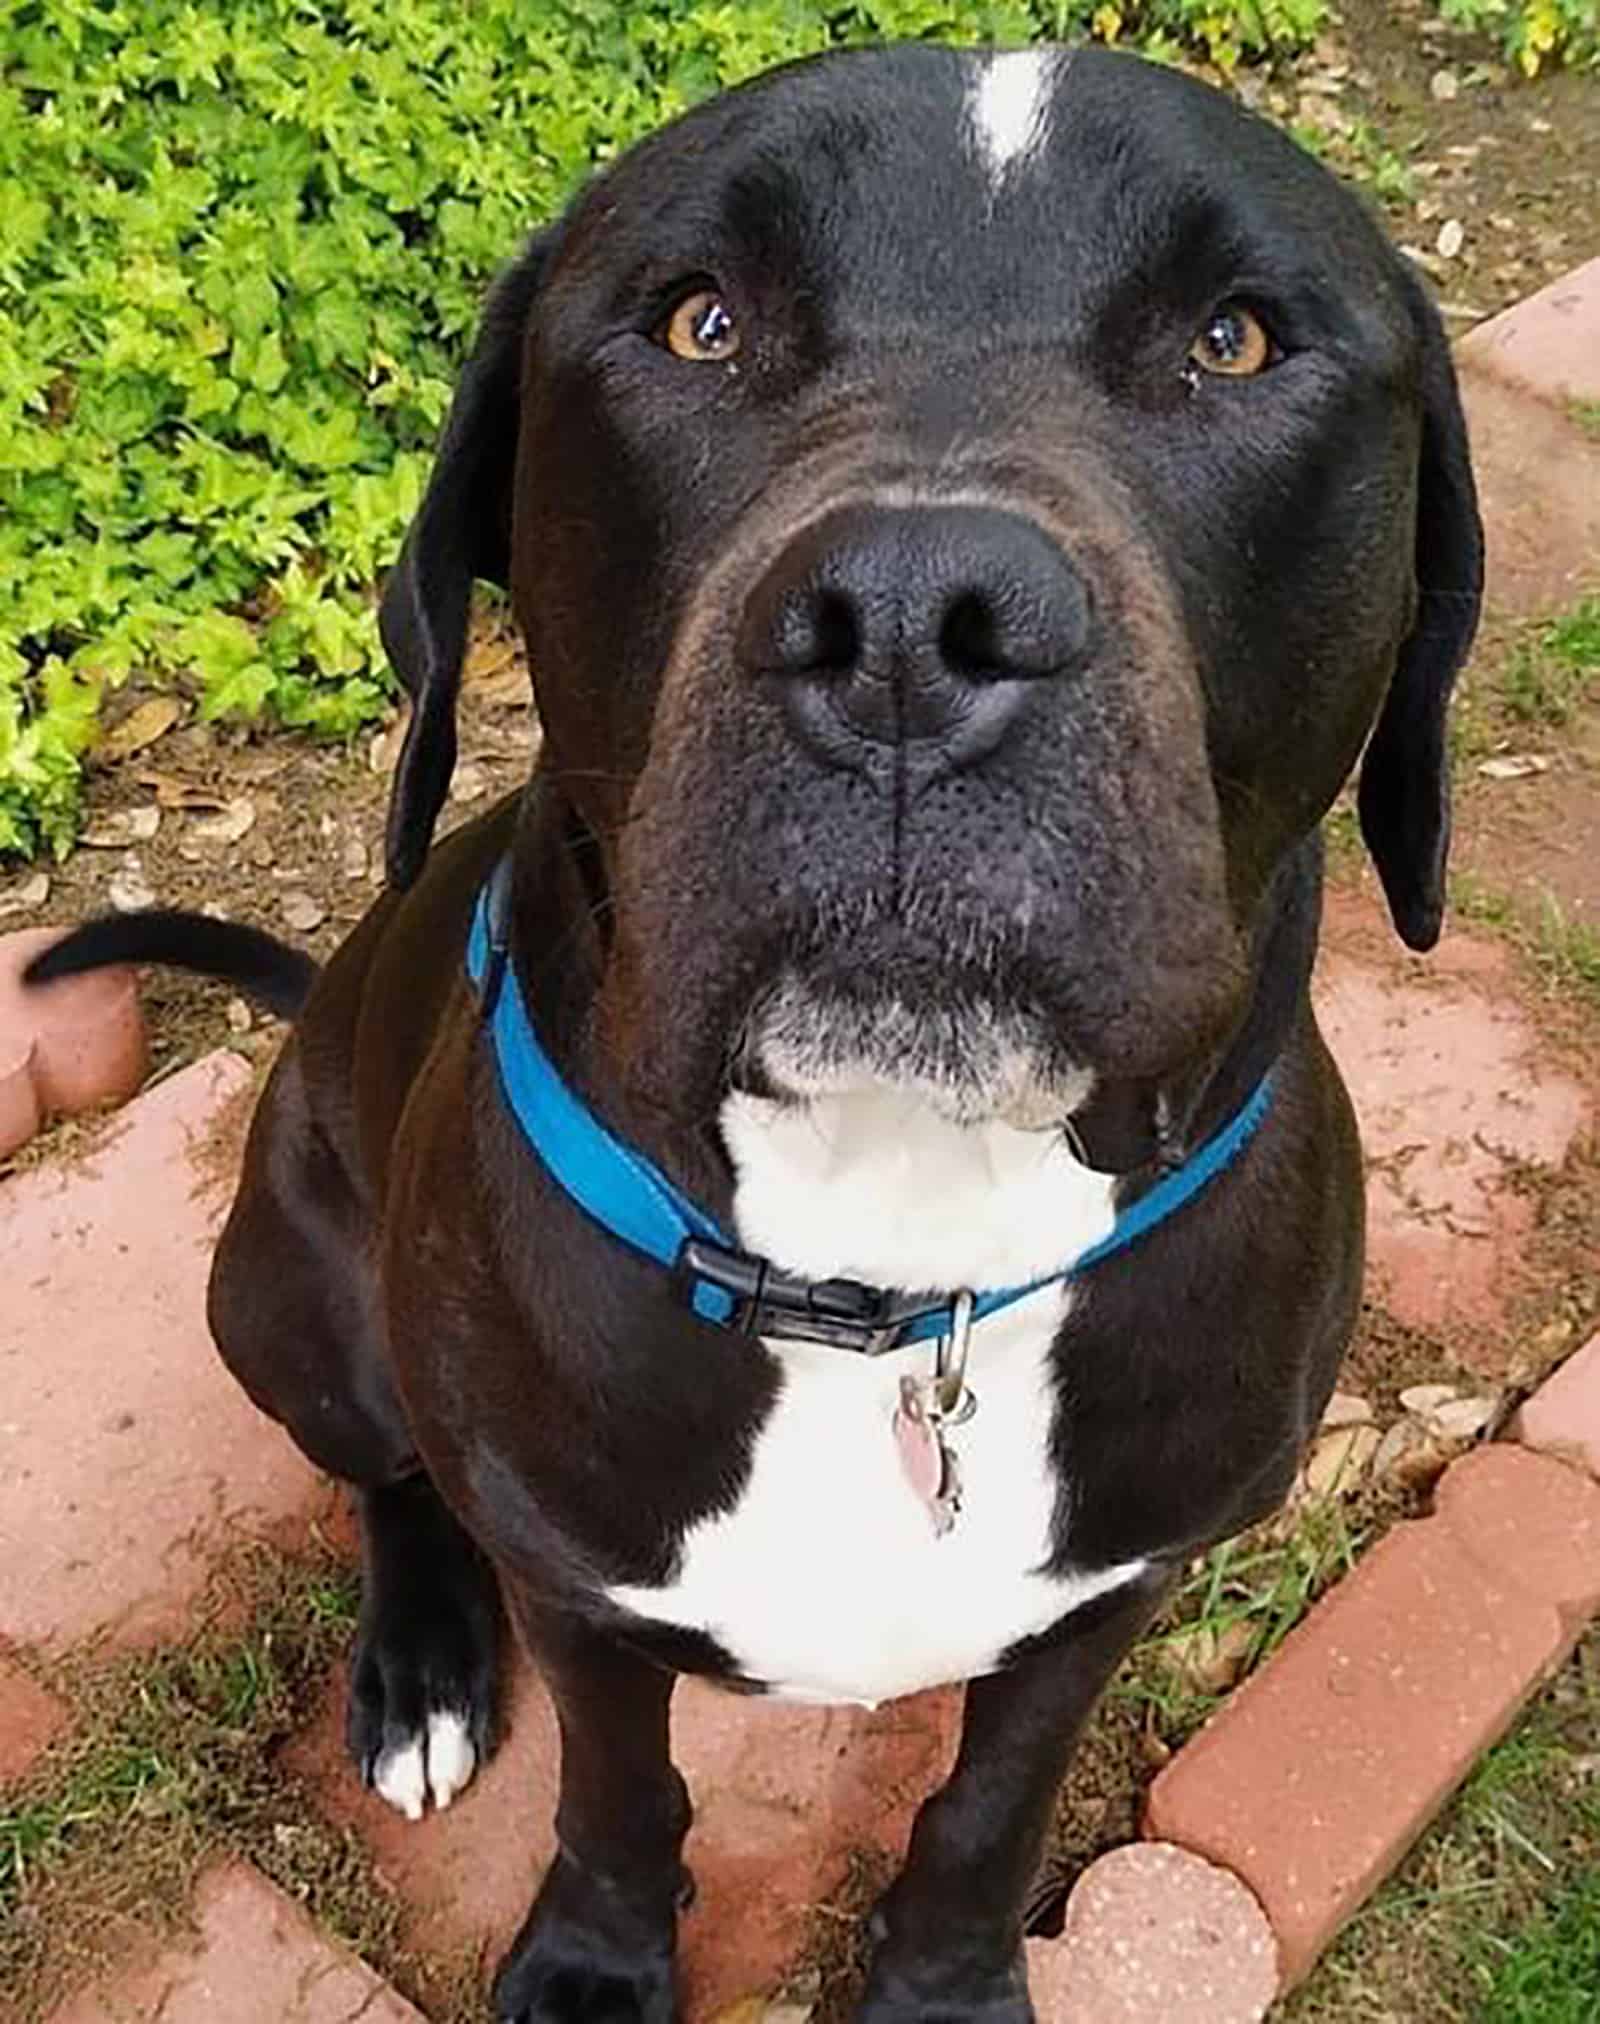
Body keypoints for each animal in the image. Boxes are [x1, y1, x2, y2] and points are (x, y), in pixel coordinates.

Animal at [31, 35, 1488, 2023]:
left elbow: (990, 1809)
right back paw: (419, 1670)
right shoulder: (577, 1582)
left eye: (1238, 338)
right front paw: (593, 1961)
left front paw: (945, 1983)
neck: (901, 1270)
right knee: (386, 1467)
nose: (909, 628)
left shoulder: (1114, 1586)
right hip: (281, 1299)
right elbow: (616, 1787)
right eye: (699, 321)